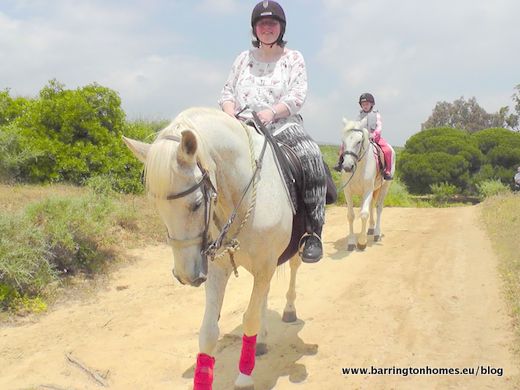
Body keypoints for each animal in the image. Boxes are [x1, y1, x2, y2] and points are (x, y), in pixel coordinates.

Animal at [123, 107, 304, 390]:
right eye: (157, 206)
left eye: (197, 204)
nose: (186, 275)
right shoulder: (220, 268)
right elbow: (209, 331)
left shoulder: (265, 264)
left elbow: (249, 318)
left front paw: (244, 377)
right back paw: (262, 340)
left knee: (293, 269)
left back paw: (289, 310)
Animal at [338, 118, 394, 250]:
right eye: (343, 141)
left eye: (359, 141)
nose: (347, 166)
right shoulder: (348, 191)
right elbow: (351, 215)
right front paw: (351, 242)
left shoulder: (368, 190)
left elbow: (363, 214)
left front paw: (362, 242)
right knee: (372, 206)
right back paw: (371, 229)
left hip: (385, 187)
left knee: (378, 207)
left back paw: (377, 233)